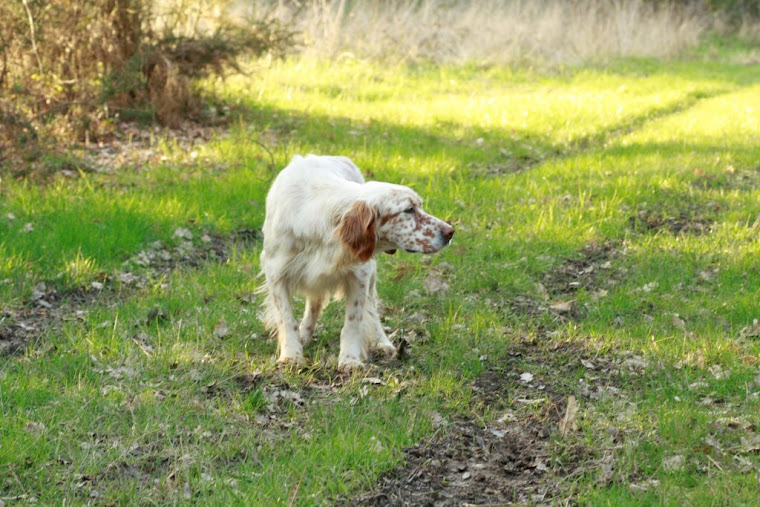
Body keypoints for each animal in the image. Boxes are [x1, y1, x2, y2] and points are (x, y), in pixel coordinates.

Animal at [258, 155, 454, 374]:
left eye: (418, 206)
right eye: (408, 210)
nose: (450, 231)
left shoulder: (359, 273)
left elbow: (353, 322)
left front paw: (350, 360)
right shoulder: (276, 272)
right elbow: (286, 318)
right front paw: (292, 355)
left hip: (371, 272)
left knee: (371, 308)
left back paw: (382, 343)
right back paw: (305, 335)